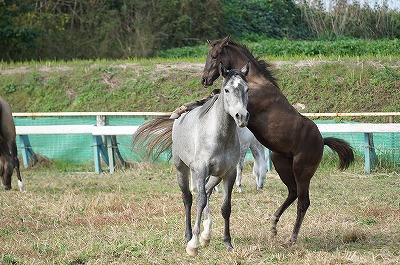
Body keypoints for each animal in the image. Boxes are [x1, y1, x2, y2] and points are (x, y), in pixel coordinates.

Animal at [173, 62, 248, 256]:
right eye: (227, 90)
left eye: (247, 89)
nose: (242, 117)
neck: (220, 136)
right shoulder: (201, 170)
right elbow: (199, 201)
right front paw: (193, 245)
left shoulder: (229, 174)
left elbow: (226, 207)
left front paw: (228, 243)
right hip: (182, 169)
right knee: (188, 198)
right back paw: (189, 235)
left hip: (215, 176)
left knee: (206, 191)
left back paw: (206, 235)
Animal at [202, 36, 354, 244]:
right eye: (208, 54)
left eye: (215, 55)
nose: (204, 79)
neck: (254, 81)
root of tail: (321, 141)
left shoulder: (248, 107)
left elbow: (218, 95)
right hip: (281, 163)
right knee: (292, 192)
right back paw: (274, 224)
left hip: (302, 170)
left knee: (303, 201)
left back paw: (292, 238)